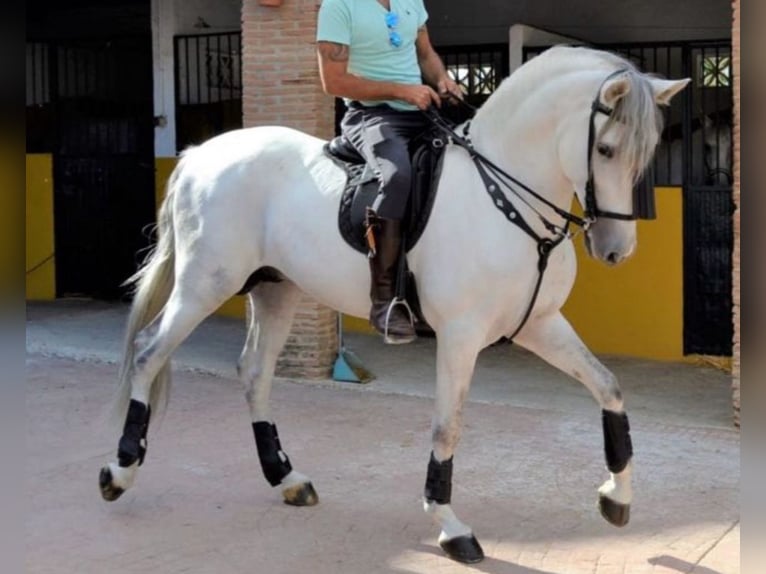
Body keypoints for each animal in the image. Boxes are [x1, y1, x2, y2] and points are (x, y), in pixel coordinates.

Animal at [98, 46, 689, 564]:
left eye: (647, 153)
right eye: (606, 150)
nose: (615, 250)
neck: (505, 196)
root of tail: (200, 155)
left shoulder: (538, 325)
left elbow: (608, 387)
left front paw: (616, 498)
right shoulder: (461, 337)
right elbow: (447, 427)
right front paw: (451, 527)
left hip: (275, 289)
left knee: (254, 373)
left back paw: (287, 479)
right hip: (206, 283)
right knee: (149, 351)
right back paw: (119, 472)